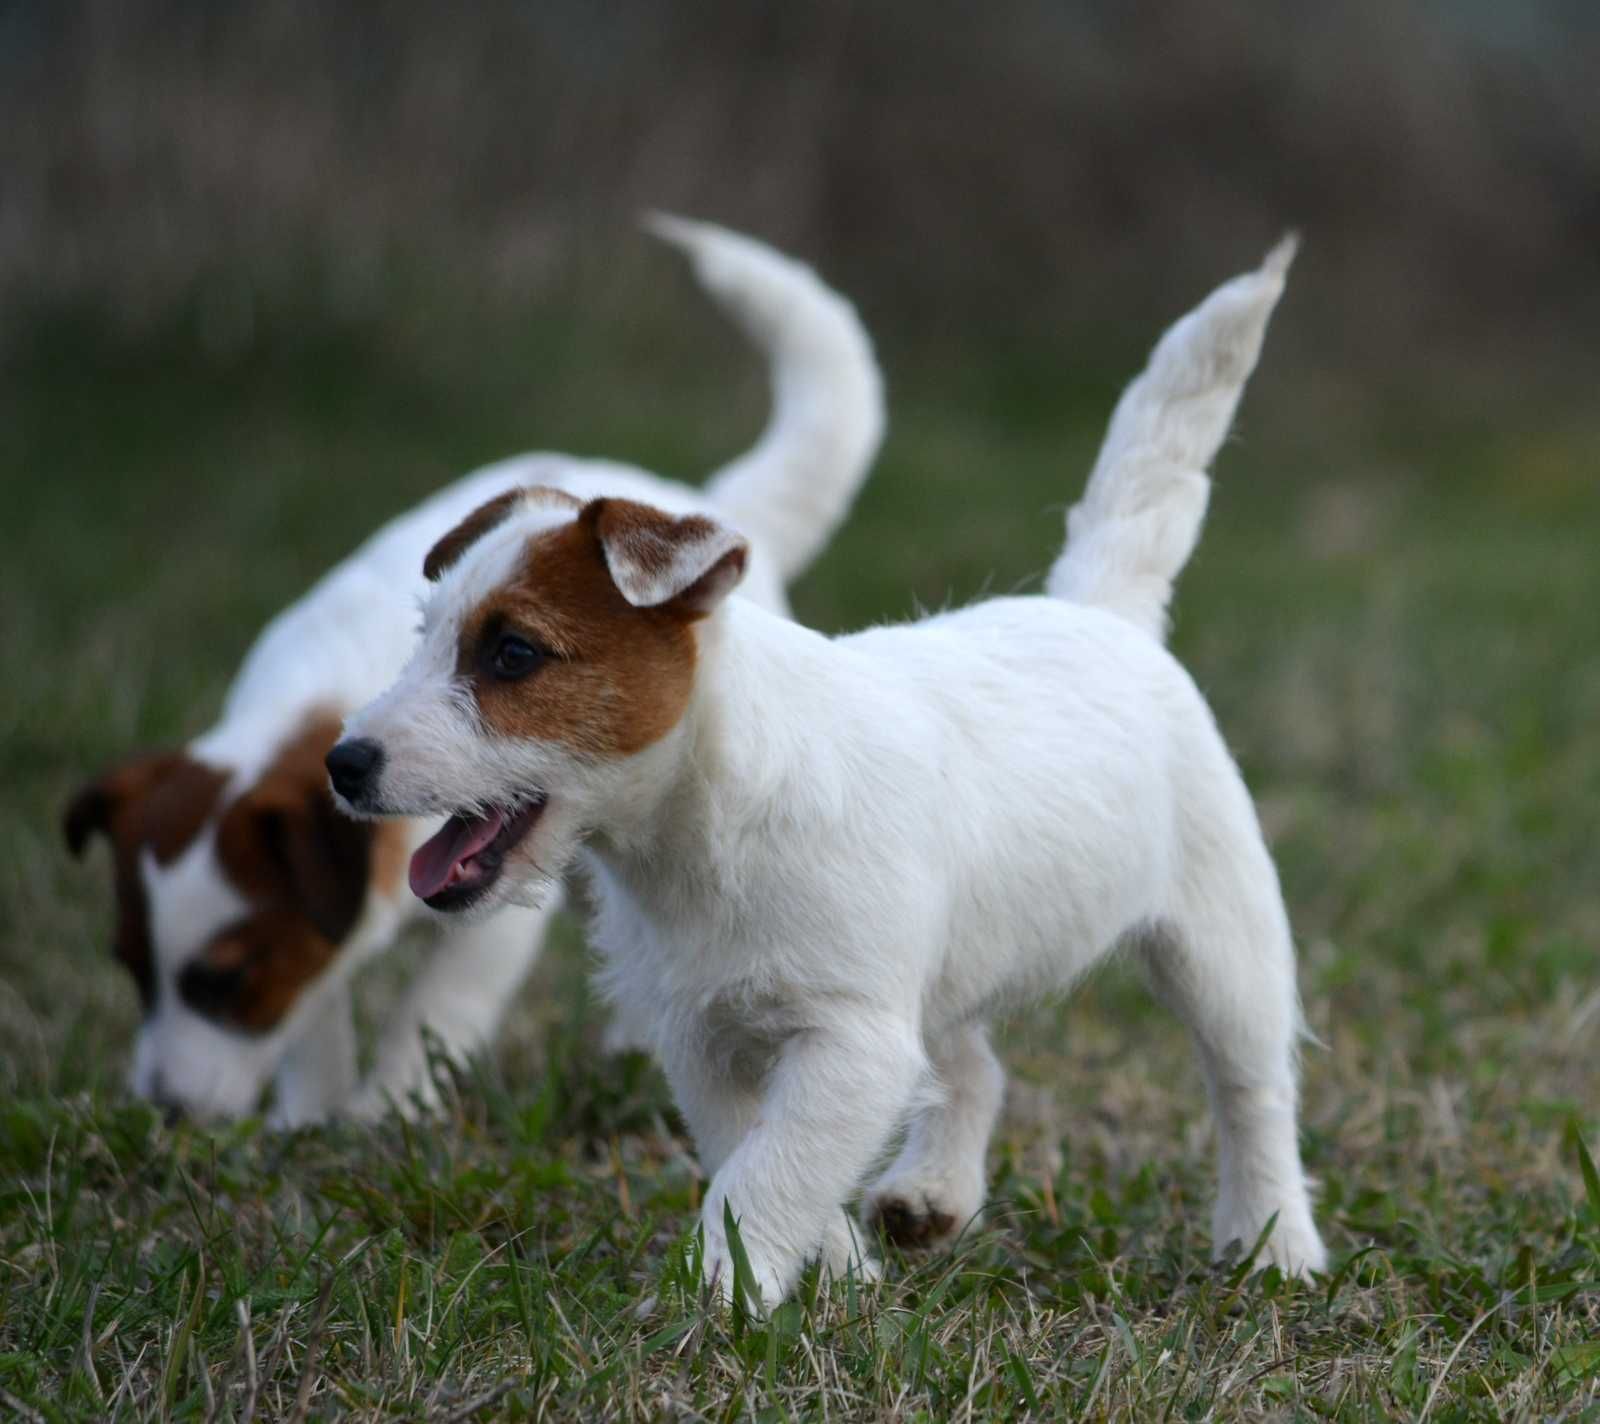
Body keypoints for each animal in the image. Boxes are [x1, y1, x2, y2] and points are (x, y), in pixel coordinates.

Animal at [65, 219, 889, 1120]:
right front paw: (308, 1116)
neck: (316, 698)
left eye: (230, 980)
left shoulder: (490, 923)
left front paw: (383, 1112)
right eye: (130, 968)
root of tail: (710, 502)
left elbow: (435, 1006)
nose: (163, 1112)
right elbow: (320, 1008)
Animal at [334, 235, 1324, 1299]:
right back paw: (931, 1195)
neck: (705, 824)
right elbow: (755, 1154)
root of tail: (1098, 609)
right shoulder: (706, 1040)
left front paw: (721, 1295)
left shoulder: (849, 1040)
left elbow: (771, 1172)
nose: (344, 764)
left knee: (1252, 1088)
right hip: (944, 963)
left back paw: (1275, 1241)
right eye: (424, 639)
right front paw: (832, 1268)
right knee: (972, 1067)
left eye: (513, 654)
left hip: (1223, 942)